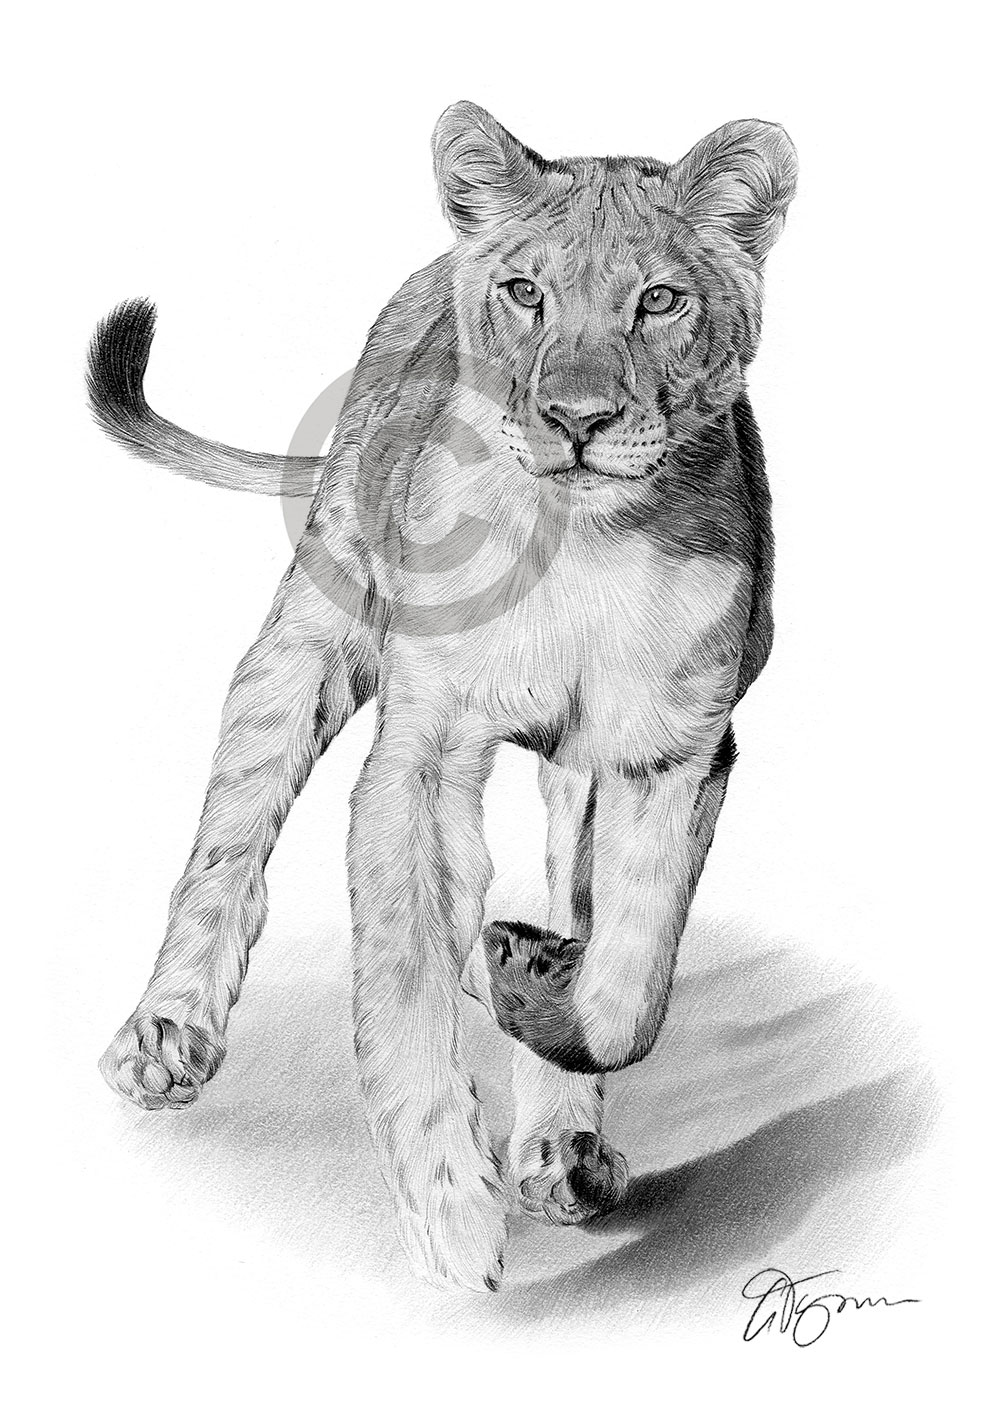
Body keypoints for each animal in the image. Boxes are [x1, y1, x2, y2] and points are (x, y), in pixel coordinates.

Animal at [88, 101, 796, 1291]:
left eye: (659, 300)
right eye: (525, 292)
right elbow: (403, 982)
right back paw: (167, 1034)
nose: (576, 417)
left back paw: (550, 1099)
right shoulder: (419, 757)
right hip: (306, 639)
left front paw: (540, 994)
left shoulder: (673, 750)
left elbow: (629, 975)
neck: (583, 547)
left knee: (570, 892)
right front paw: (453, 1215)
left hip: (575, 769)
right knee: (228, 841)